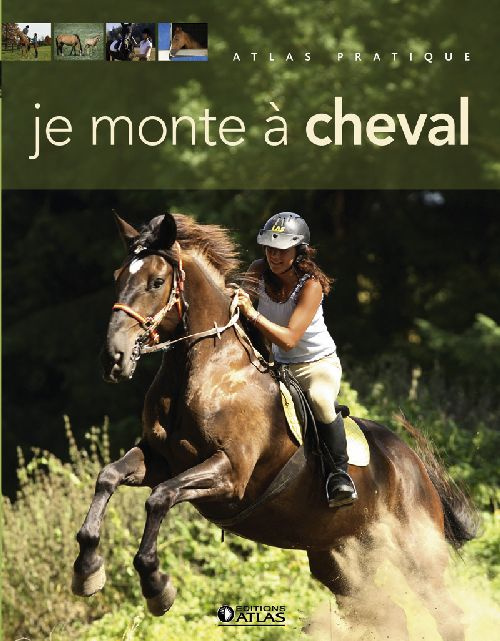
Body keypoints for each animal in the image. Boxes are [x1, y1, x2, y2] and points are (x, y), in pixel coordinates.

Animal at [73, 213, 478, 641]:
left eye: (156, 281)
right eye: (118, 276)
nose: (113, 359)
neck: (207, 371)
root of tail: (414, 465)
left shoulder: (230, 473)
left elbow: (159, 498)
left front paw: (156, 586)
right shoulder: (159, 459)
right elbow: (108, 476)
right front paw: (87, 571)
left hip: (416, 554)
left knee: (448, 614)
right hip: (340, 563)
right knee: (390, 614)